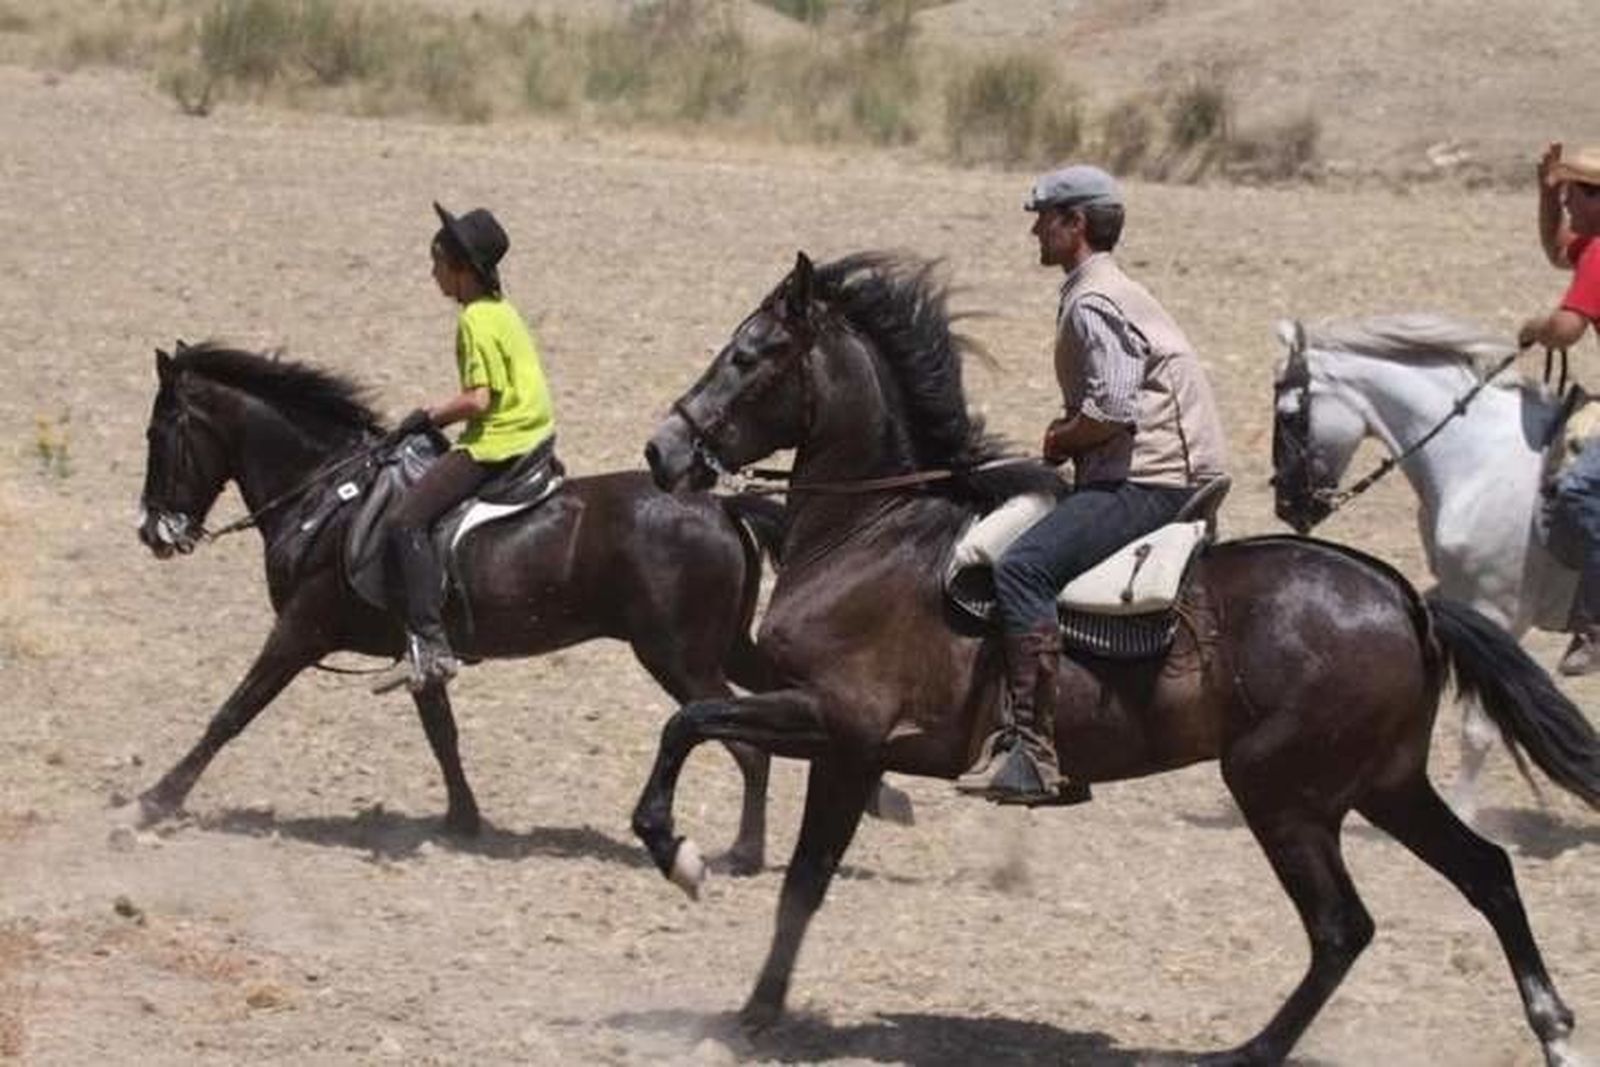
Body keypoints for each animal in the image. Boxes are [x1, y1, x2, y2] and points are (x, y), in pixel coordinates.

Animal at [135, 341, 797, 871]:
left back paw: (743, 854)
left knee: (747, 745)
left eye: (157, 436)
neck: (327, 496)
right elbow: (442, 734)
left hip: (677, 658)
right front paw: (462, 821)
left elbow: (233, 712)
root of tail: (721, 506)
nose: (152, 532)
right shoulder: (419, 650)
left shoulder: (302, 630)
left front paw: (155, 801)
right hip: (723, 649)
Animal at [1269, 313, 1587, 821]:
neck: (1477, 461)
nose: (1287, 504)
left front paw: (1461, 811)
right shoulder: (1454, 593)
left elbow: (1477, 731)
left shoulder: (1497, 611)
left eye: (1288, 414)